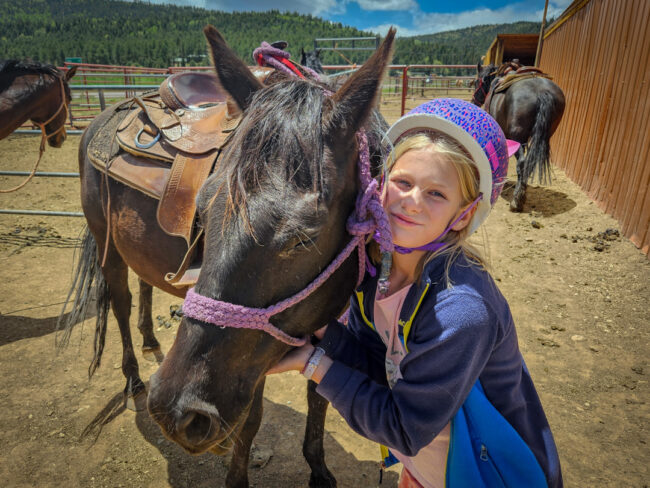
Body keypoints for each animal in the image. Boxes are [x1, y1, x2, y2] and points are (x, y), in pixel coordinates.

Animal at [62, 25, 394, 488]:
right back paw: (132, 377)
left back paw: (150, 341)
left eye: (302, 240)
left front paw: (319, 468)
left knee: (145, 284)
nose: (176, 410)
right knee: (121, 305)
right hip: (107, 245)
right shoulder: (253, 359)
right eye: (201, 213)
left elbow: (319, 394)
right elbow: (250, 419)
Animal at [470, 61, 560, 212]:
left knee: (522, 162)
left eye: (477, 81)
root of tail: (542, 92)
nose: (473, 101)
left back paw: (517, 201)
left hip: (519, 138)